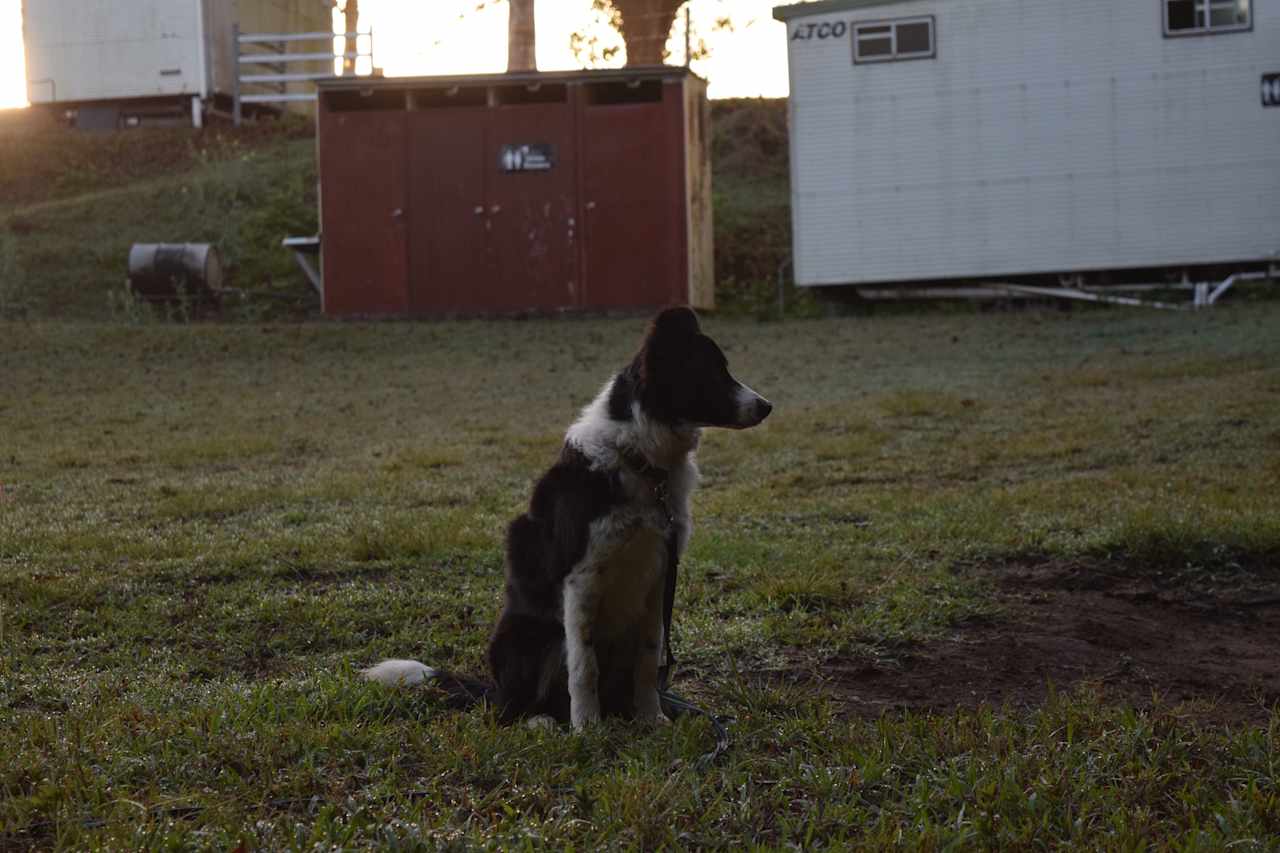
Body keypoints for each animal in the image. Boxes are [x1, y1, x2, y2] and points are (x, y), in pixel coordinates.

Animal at [366, 308, 773, 727]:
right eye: (712, 372)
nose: (767, 406)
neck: (639, 462)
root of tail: (492, 691)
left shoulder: (658, 575)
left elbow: (649, 660)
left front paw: (652, 719)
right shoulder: (582, 578)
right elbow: (583, 666)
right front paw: (588, 728)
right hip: (530, 637)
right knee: (511, 708)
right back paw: (540, 721)